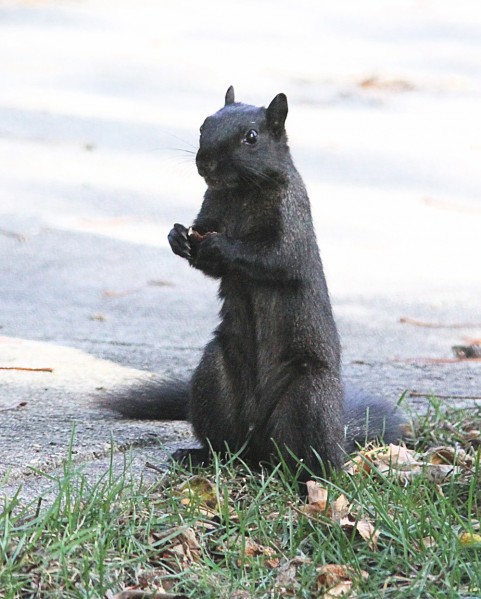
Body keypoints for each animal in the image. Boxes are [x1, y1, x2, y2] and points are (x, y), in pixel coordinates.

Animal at [106, 85, 404, 478]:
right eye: (203, 124)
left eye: (251, 137)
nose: (205, 163)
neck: (240, 193)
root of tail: (259, 443)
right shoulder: (210, 210)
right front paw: (177, 237)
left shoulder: (291, 226)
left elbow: (274, 258)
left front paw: (220, 245)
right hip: (212, 377)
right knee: (228, 443)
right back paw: (201, 456)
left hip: (309, 395)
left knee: (312, 456)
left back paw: (310, 475)